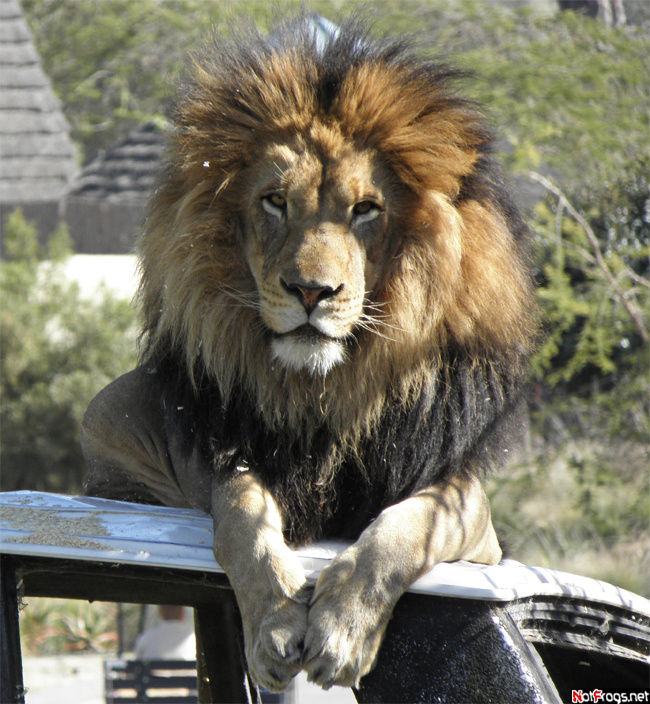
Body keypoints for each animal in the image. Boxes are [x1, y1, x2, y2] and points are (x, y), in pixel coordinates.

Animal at [81, 16, 536, 692]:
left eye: (365, 210)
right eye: (275, 201)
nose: (311, 291)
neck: (321, 394)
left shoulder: (471, 512)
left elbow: (405, 527)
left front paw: (343, 628)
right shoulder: (223, 454)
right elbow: (243, 515)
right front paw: (275, 623)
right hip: (109, 414)